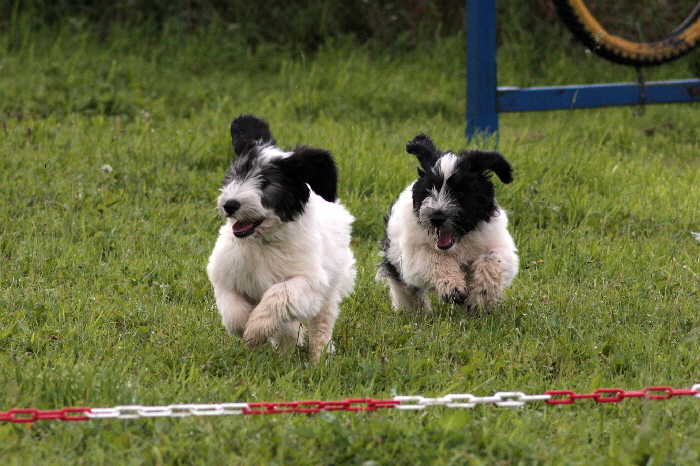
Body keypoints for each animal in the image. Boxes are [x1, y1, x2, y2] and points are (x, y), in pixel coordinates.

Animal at [204, 114, 356, 362]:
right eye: (234, 175)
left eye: (266, 182)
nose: (230, 205)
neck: (261, 242)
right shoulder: (226, 276)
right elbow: (233, 311)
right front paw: (247, 328)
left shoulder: (308, 282)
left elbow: (279, 295)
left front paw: (255, 329)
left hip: (331, 285)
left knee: (321, 323)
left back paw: (319, 357)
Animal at [378, 133, 520, 312]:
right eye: (429, 189)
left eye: (460, 191)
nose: (436, 217)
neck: (457, 245)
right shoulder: (413, 253)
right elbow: (434, 259)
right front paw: (452, 287)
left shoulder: (499, 244)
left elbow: (493, 259)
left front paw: (480, 296)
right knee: (405, 288)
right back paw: (414, 311)